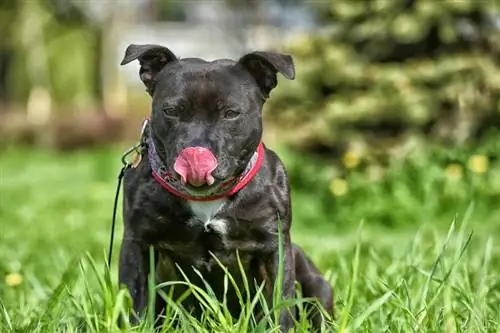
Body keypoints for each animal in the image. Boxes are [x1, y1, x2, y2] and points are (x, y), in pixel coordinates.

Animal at [118, 43, 334, 330]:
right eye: (171, 111)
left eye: (231, 114)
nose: (195, 151)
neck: (207, 200)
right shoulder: (138, 245)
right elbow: (137, 302)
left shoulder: (274, 248)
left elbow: (279, 303)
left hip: (315, 281)